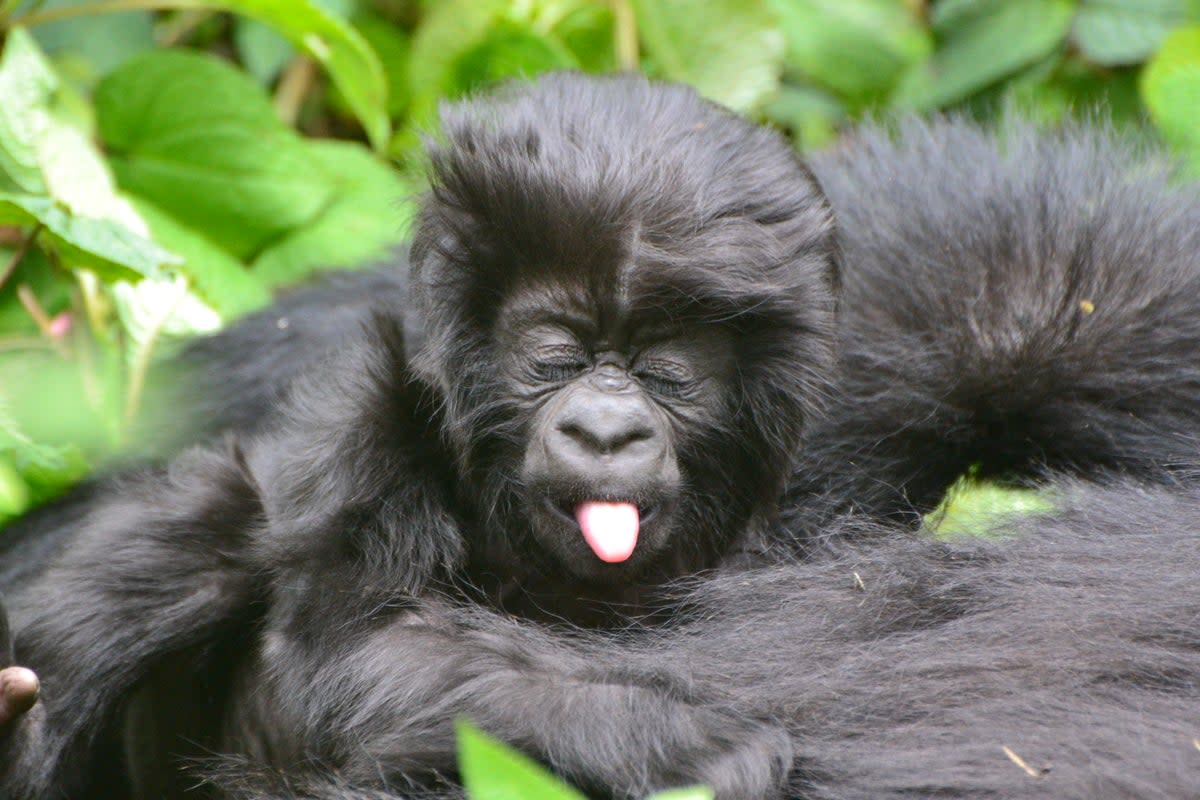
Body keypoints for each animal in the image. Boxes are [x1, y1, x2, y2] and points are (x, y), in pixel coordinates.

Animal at [0, 71, 835, 796]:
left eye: (664, 372)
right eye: (555, 358)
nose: (605, 432)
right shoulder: (363, 420)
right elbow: (352, 654)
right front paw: (667, 735)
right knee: (204, 520)